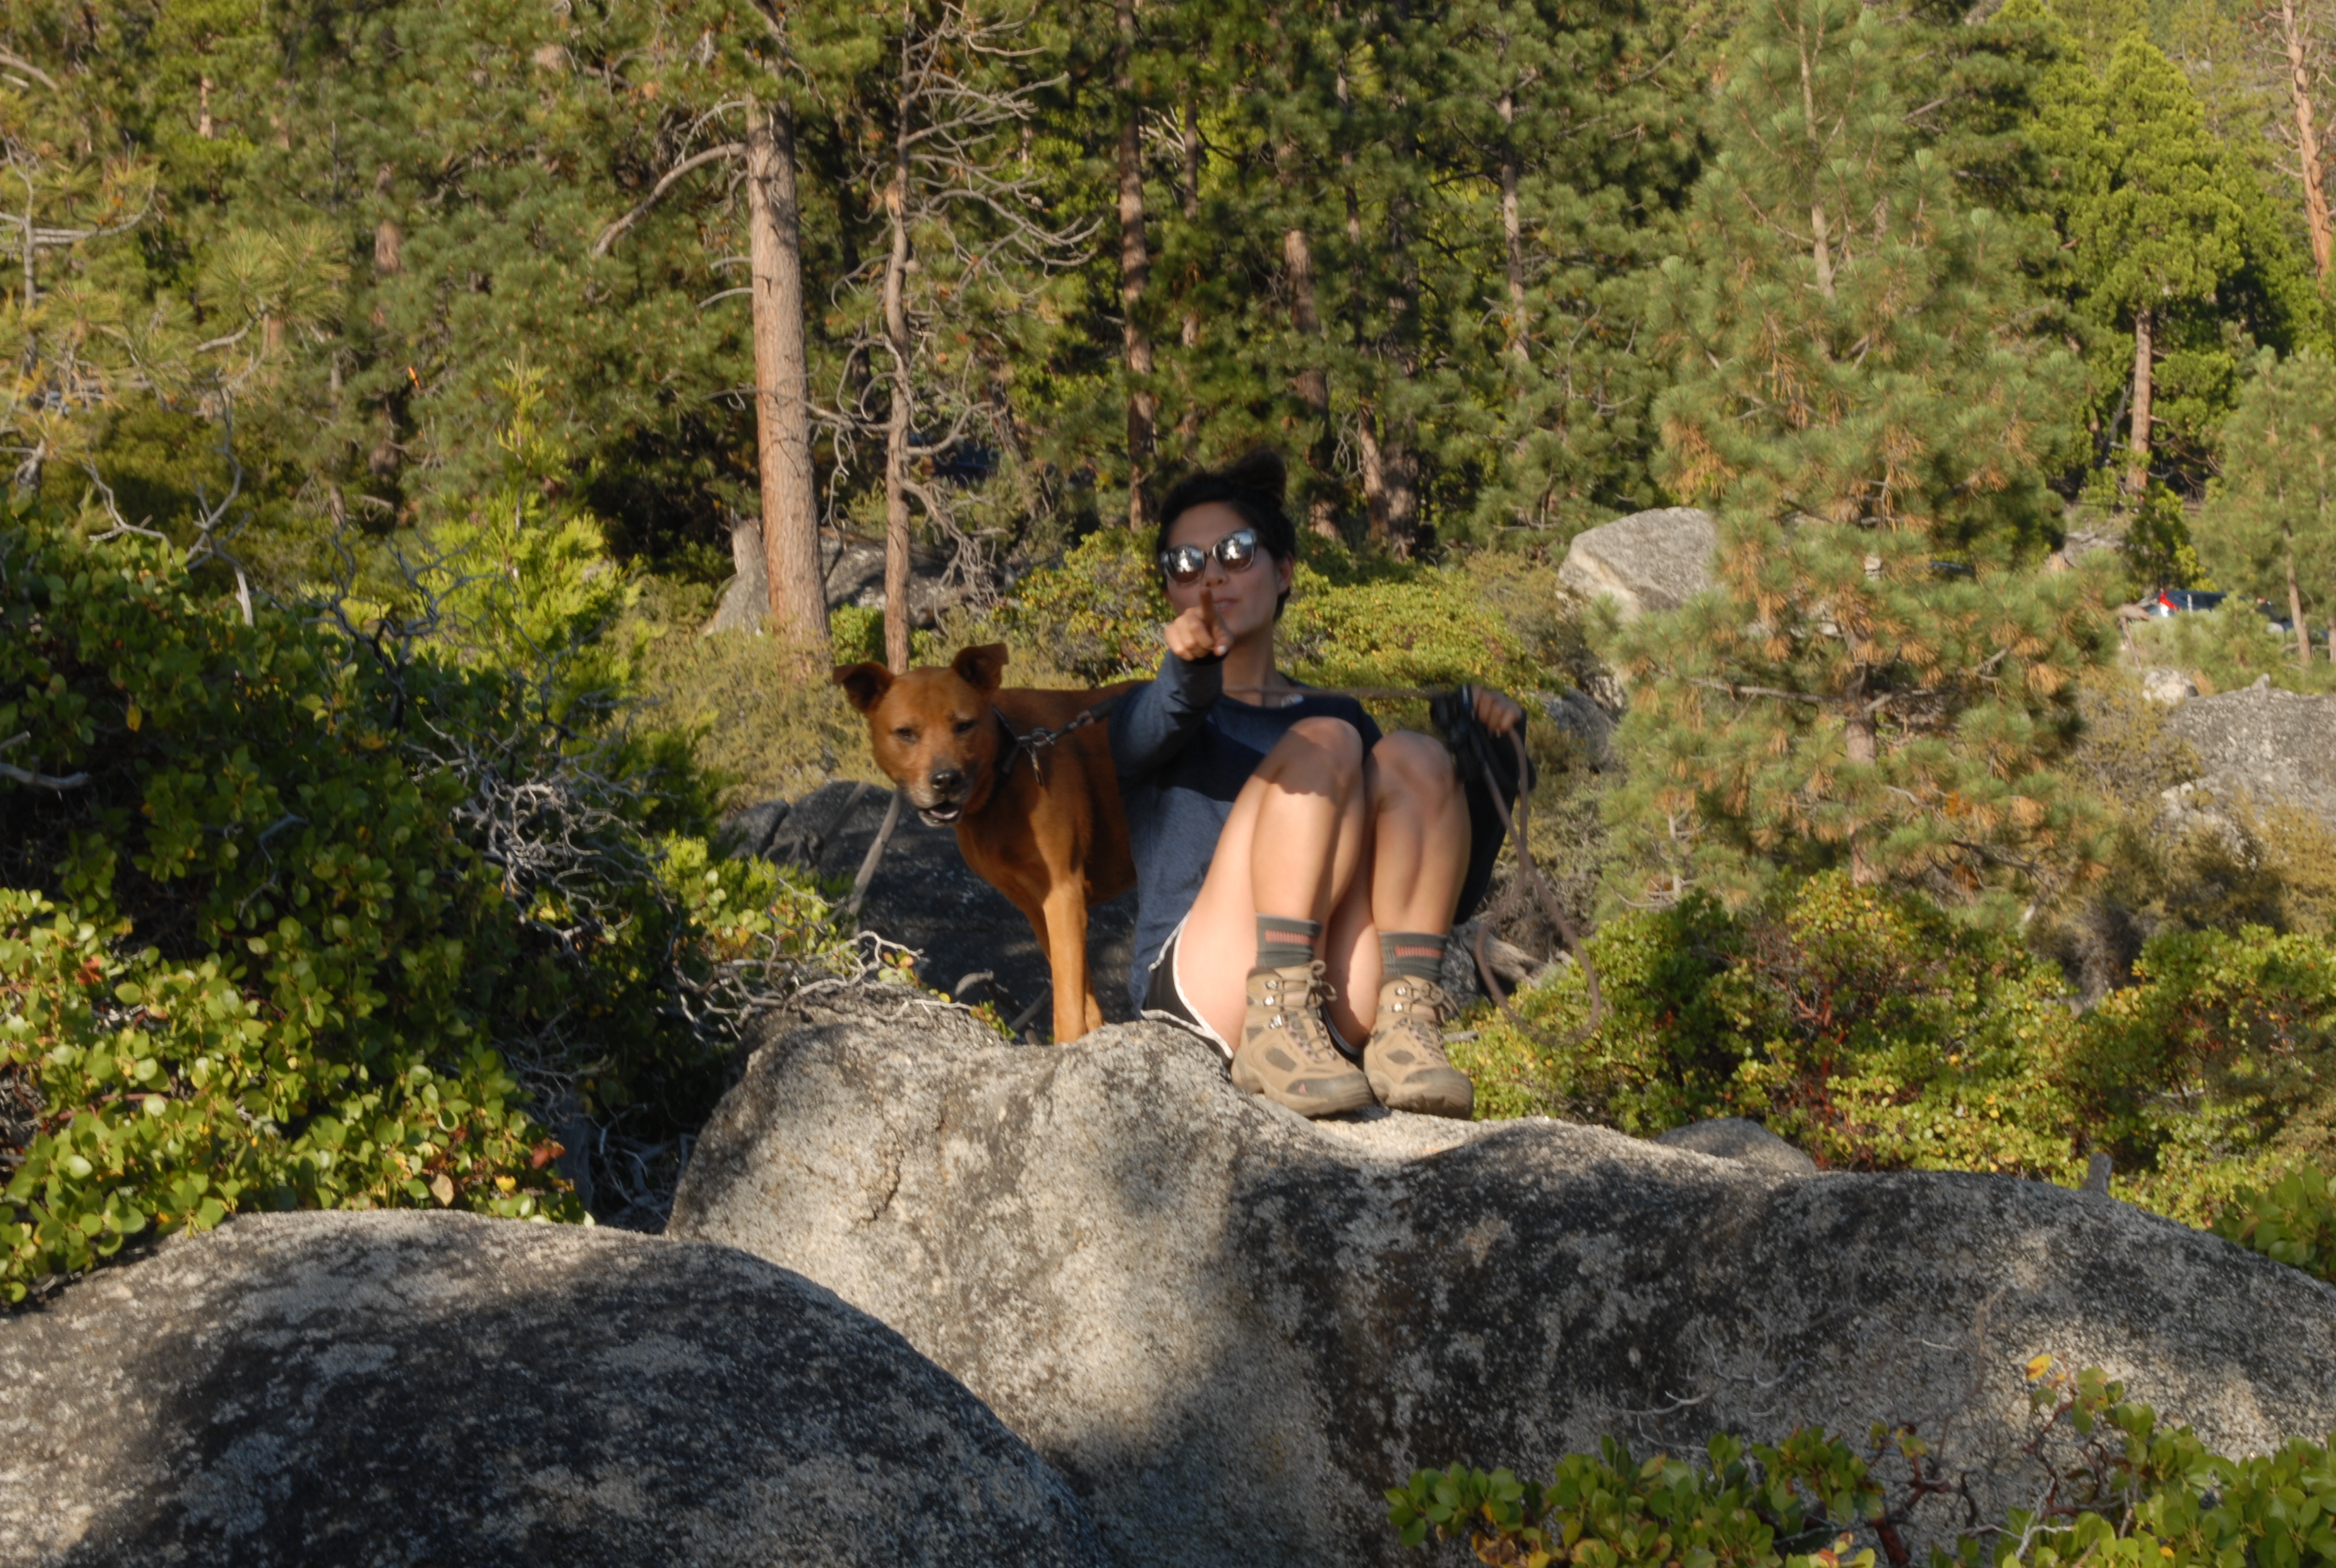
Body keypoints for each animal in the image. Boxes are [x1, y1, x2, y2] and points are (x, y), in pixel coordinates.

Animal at [834, 644, 1136, 1043]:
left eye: (964, 725)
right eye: (906, 733)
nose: (945, 779)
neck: (1007, 768)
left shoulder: (1064, 893)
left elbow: (1068, 1002)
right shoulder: (1038, 906)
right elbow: (1082, 994)